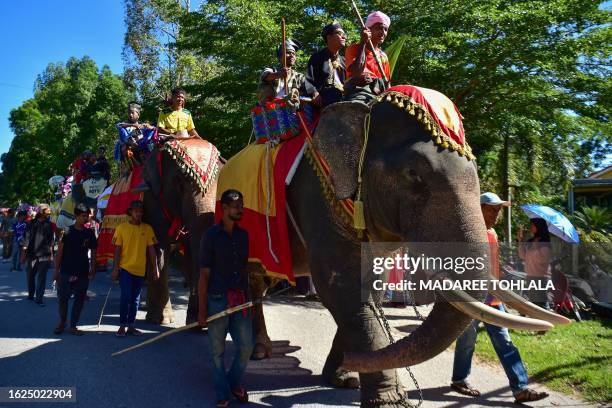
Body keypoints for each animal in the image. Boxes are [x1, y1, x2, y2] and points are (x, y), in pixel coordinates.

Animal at [249, 96, 564, 408]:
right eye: (413, 174)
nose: (352, 361)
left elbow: (371, 289)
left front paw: (344, 378)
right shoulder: (317, 199)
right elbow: (340, 288)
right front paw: (388, 400)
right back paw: (259, 352)